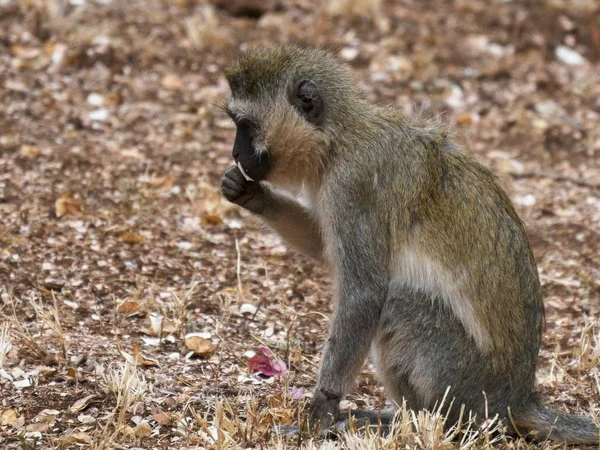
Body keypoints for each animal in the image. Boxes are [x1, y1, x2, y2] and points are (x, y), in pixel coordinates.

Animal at [220, 44, 600, 444]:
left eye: (246, 126)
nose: (235, 153)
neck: (338, 138)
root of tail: (517, 399)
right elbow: (322, 243)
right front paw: (252, 194)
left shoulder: (353, 185)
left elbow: (364, 293)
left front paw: (321, 409)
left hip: (465, 379)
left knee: (399, 302)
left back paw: (424, 423)